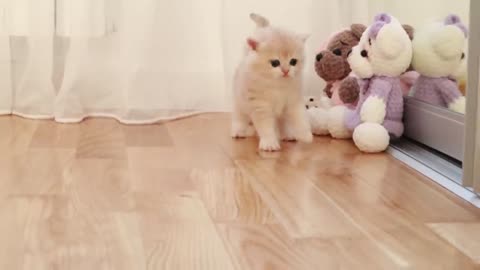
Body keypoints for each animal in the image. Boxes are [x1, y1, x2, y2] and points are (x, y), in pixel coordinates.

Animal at [231, 13, 314, 152]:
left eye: (293, 62)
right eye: (275, 63)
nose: (286, 71)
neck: (277, 85)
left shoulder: (293, 101)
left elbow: (300, 118)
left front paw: (305, 135)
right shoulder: (260, 106)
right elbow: (265, 128)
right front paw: (269, 143)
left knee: (282, 123)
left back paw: (287, 135)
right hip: (240, 103)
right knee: (240, 117)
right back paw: (238, 131)